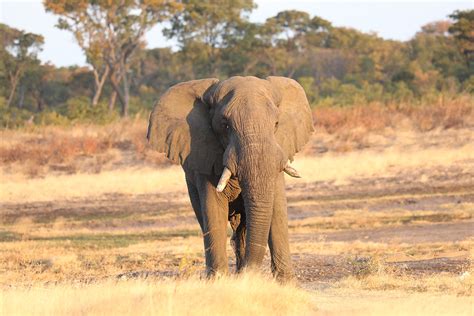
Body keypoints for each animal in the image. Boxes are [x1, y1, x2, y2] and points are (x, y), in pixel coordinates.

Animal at [146, 76, 312, 282]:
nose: (250, 274)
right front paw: (218, 281)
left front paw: (286, 284)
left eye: (276, 124)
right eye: (225, 126)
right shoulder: (205, 155)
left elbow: (278, 209)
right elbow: (213, 209)